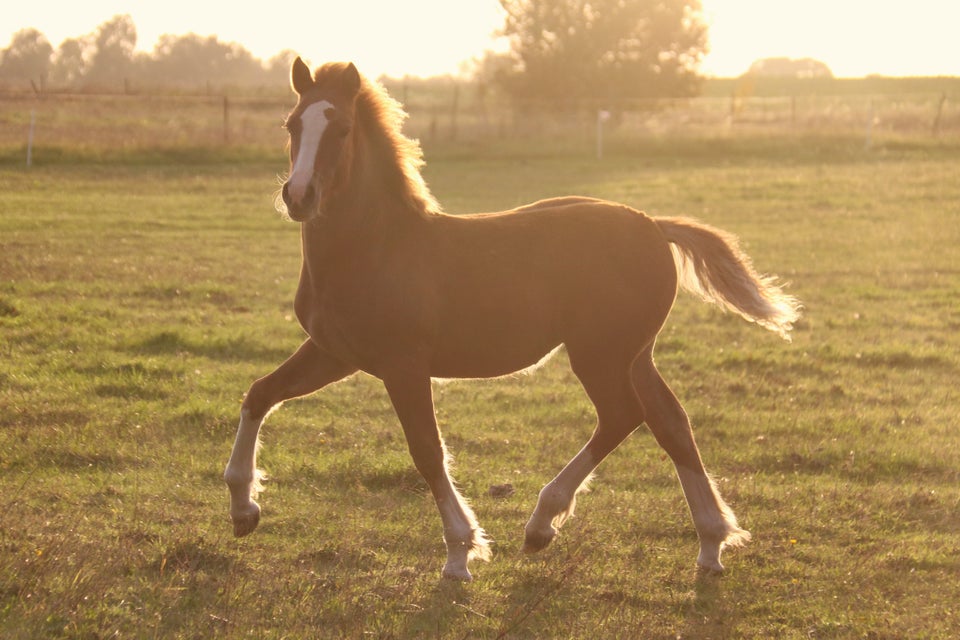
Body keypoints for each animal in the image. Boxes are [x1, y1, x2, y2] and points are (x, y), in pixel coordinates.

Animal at [221, 58, 800, 580]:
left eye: (340, 128)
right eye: (291, 125)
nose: (299, 196)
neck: (374, 246)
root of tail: (655, 226)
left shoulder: (403, 364)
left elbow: (427, 451)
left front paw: (460, 552)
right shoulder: (335, 353)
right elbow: (258, 394)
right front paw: (243, 508)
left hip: (600, 355)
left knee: (623, 416)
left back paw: (543, 524)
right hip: (634, 356)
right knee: (671, 422)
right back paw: (711, 543)